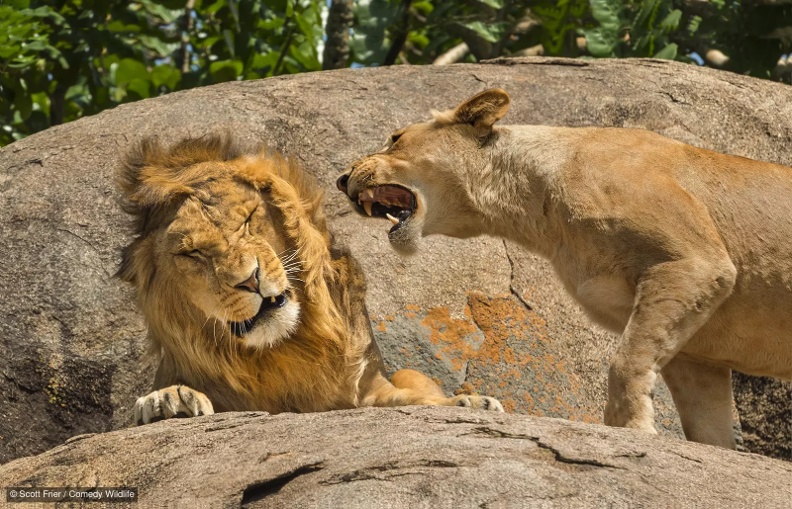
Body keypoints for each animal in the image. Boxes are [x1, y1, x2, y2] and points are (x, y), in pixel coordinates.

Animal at [117, 133, 502, 422]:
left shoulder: (367, 388)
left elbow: (409, 400)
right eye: (191, 253)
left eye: (247, 219)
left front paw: (467, 402)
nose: (250, 279)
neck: (285, 349)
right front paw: (168, 400)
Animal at [338, 89, 792, 446]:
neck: (536, 207)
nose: (342, 179)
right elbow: (707, 426)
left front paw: (631, 430)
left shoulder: (695, 262)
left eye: (395, 138)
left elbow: (625, 361)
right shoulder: (697, 351)